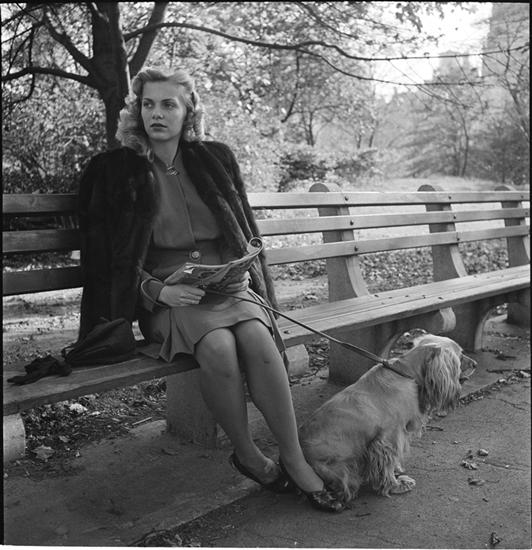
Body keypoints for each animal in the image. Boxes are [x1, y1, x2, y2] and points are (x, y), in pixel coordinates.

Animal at [299, 334, 477, 504]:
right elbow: (387, 464)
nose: (475, 364)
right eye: (460, 355)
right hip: (337, 467)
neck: (406, 373)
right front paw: (396, 485)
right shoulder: (389, 437)